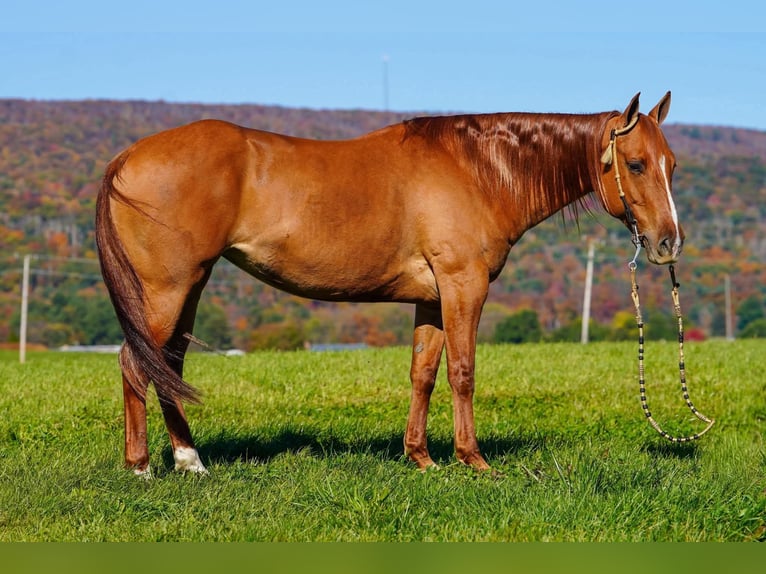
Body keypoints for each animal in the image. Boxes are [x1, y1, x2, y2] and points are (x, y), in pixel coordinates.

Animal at [96, 92, 681, 476]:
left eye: (672, 164)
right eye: (635, 164)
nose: (668, 243)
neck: (478, 169)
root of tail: (126, 157)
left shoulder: (432, 299)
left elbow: (423, 374)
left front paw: (420, 457)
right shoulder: (463, 287)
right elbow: (463, 373)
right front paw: (473, 460)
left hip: (190, 287)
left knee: (167, 365)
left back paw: (190, 462)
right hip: (167, 290)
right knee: (135, 363)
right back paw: (141, 467)